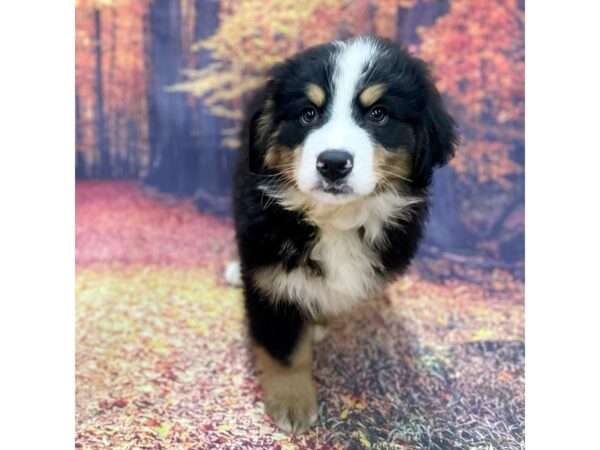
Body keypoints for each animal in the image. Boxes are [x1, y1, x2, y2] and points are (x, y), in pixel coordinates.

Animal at [227, 36, 458, 432]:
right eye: (308, 113)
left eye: (378, 113)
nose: (333, 163)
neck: (336, 219)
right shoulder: (269, 275)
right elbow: (285, 350)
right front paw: (292, 404)